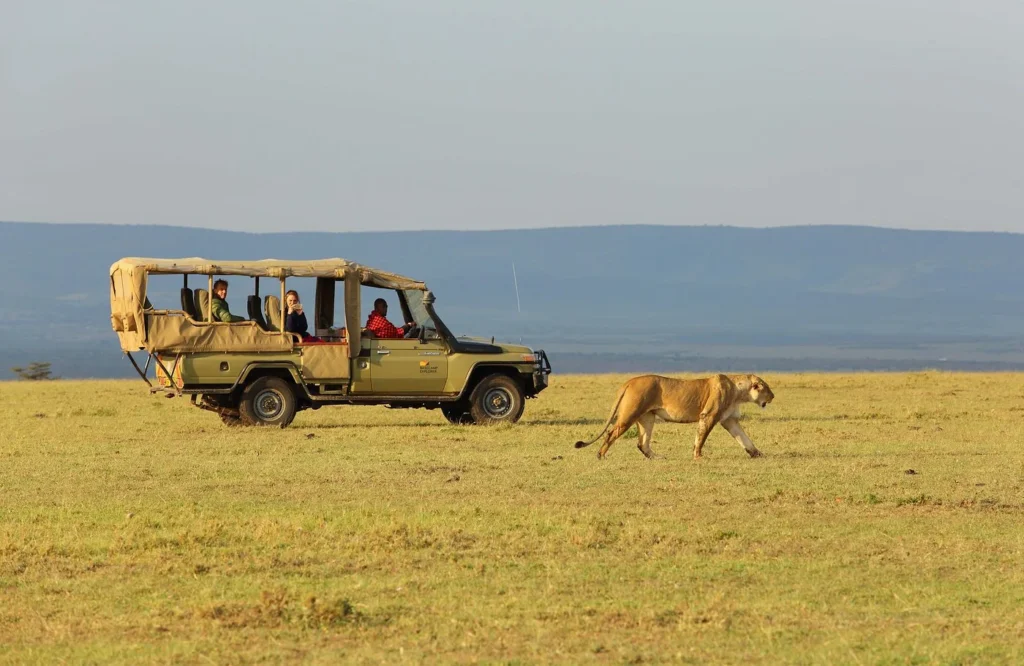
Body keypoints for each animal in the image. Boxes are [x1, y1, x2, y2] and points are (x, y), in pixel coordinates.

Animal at [574, 374, 775, 460]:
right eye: (766, 388)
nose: (773, 396)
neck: (738, 391)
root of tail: (629, 381)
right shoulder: (708, 416)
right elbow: (701, 437)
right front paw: (698, 456)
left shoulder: (729, 420)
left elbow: (744, 438)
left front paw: (758, 454)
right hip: (629, 415)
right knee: (611, 434)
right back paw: (601, 455)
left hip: (647, 418)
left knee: (642, 443)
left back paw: (657, 458)